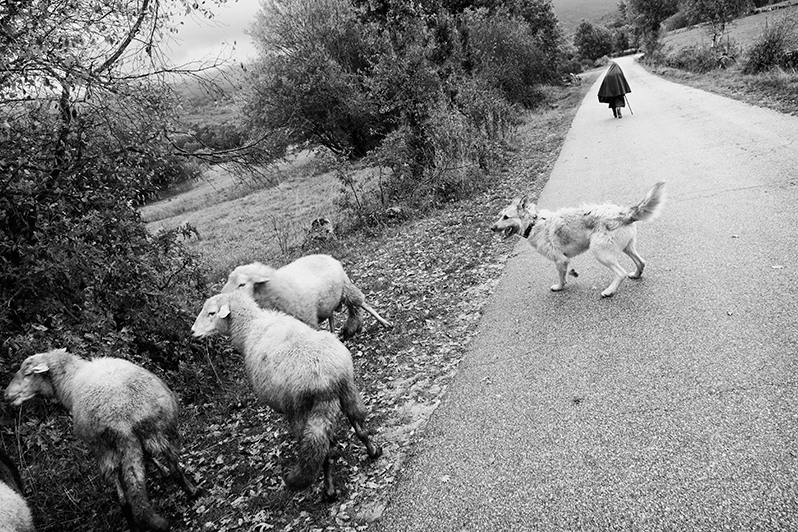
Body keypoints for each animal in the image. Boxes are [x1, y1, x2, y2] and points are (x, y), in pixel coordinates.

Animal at [4, 349, 198, 532]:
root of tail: (121, 419)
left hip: (110, 447)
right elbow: (149, 456)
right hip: (154, 430)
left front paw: (161, 470)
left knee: (124, 498)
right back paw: (192, 491)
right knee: (171, 470)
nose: (5, 395)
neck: (71, 380)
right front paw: (162, 470)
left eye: (28, 373)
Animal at [191, 290, 382, 500]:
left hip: (302, 410)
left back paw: (329, 490)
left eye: (211, 313)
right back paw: (373, 451)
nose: (192, 331)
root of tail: (327, 378)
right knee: (359, 426)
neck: (250, 327)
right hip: (348, 391)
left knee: (321, 451)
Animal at [220, 254, 392, 339]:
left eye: (242, 284)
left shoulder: (308, 319)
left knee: (364, 304)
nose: (222, 297)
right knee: (331, 317)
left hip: (346, 288)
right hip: (329, 301)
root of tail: (325, 255)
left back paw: (384, 322)